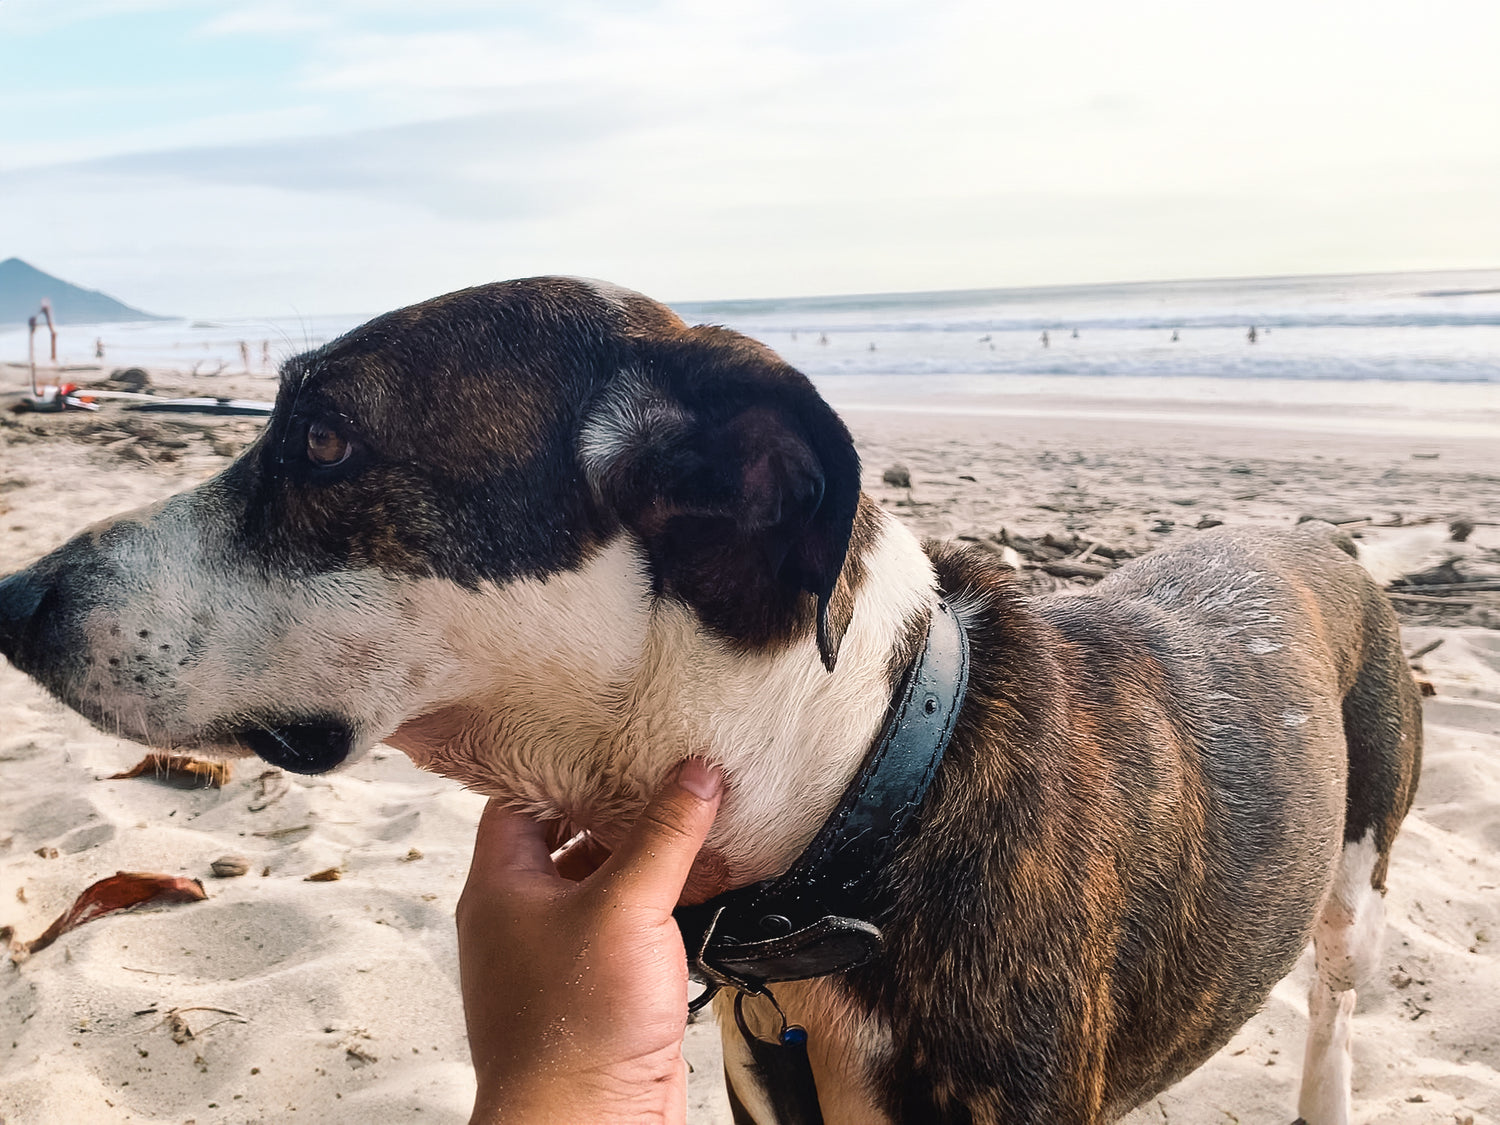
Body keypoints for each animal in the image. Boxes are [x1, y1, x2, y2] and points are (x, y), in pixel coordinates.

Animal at [0, 277, 1422, 1122]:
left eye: (326, 439)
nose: (15, 600)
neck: (856, 803)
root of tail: (1318, 538)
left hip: (1359, 875)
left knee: (1337, 1008)